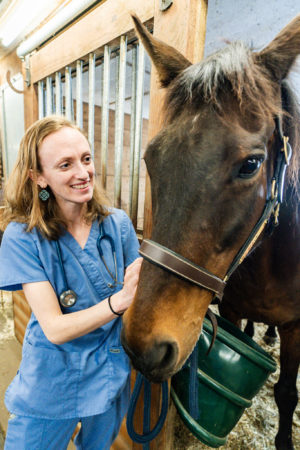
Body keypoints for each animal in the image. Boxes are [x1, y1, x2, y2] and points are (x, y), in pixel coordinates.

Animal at [121, 14, 300, 450]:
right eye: (150, 158)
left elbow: (287, 392)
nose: (143, 346)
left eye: (251, 164)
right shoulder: (232, 310)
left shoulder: (298, 327)